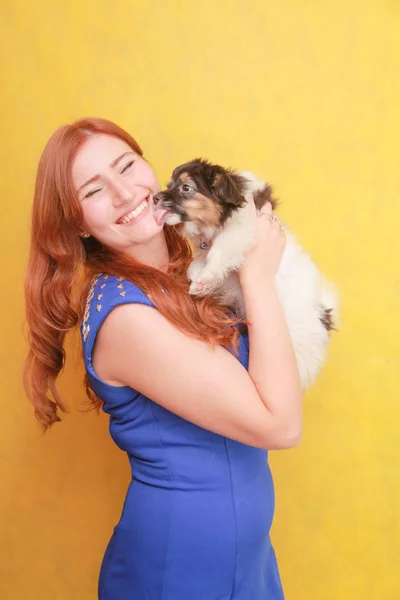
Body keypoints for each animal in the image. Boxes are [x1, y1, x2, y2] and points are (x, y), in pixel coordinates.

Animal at [153, 157, 338, 390]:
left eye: (186, 188)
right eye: (169, 184)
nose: (155, 198)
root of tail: (324, 318)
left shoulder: (239, 231)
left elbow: (217, 252)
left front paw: (205, 279)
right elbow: (196, 264)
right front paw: (200, 279)